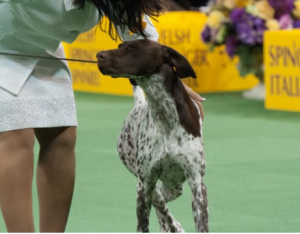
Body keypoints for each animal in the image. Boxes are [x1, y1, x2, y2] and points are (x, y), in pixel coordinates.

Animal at [96, 39, 209, 231]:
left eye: (133, 47)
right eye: (119, 46)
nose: (99, 56)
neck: (164, 114)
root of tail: (138, 105)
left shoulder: (197, 183)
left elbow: (201, 224)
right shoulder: (145, 184)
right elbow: (143, 223)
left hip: (175, 186)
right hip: (143, 180)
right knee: (160, 202)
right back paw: (174, 226)